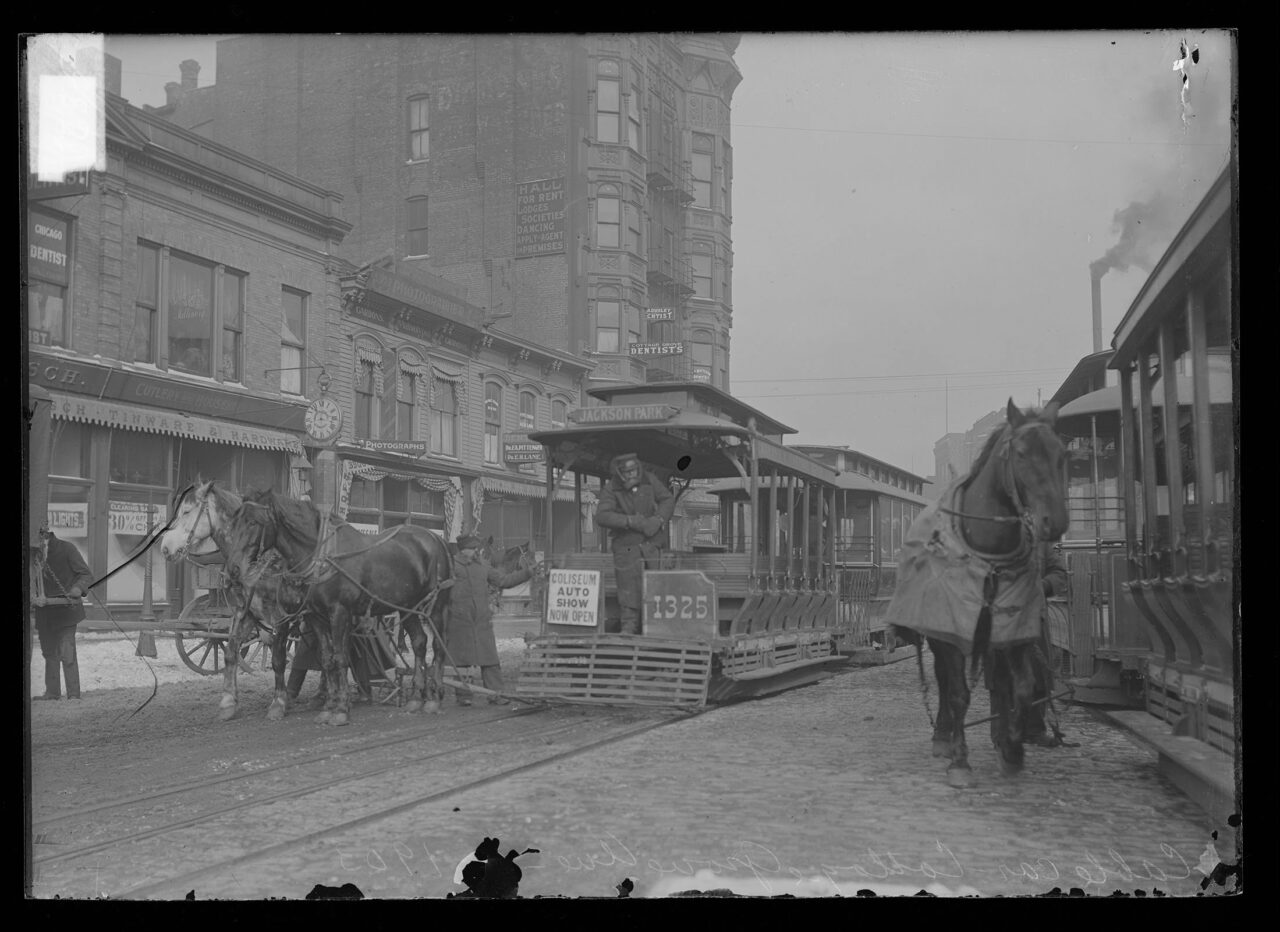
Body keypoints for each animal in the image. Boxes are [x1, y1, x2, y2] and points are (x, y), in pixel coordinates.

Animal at [226, 491, 455, 722]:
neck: (322, 557)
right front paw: (329, 706)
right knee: (419, 643)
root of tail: (437, 539)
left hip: (436, 605)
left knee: (438, 645)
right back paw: (417, 697)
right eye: (234, 523)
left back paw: (434, 697)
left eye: (254, 522)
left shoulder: (338, 611)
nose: (233, 568)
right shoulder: (316, 617)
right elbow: (327, 659)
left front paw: (341, 709)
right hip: (408, 607)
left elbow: (340, 657)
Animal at [885, 399, 1064, 788]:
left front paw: (1012, 747)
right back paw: (943, 737)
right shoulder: (952, 632)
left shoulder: (1012, 631)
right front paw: (960, 761)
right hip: (939, 637)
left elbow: (1022, 687)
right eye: (1021, 453)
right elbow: (958, 694)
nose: (1055, 521)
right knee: (943, 682)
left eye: (1061, 453)